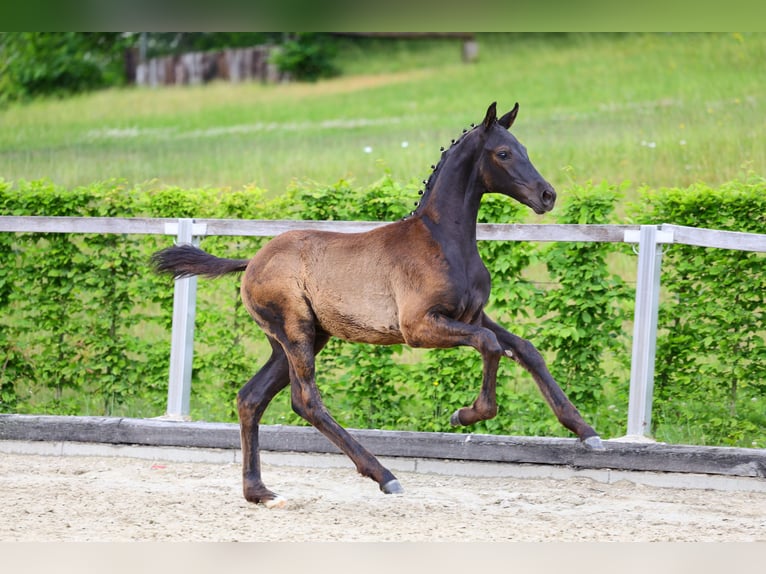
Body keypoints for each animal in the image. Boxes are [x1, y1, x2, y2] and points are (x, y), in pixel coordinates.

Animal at [152, 102, 604, 507]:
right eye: (503, 153)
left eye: (523, 147)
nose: (547, 195)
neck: (443, 241)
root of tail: (252, 262)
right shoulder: (418, 327)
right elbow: (490, 346)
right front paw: (465, 414)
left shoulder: (472, 315)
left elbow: (526, 349)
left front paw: (587, 432)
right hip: (296, 333)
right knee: (305, 400)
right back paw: (384, 476)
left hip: (301, 339)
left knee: (251, 397)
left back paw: (259, 492)